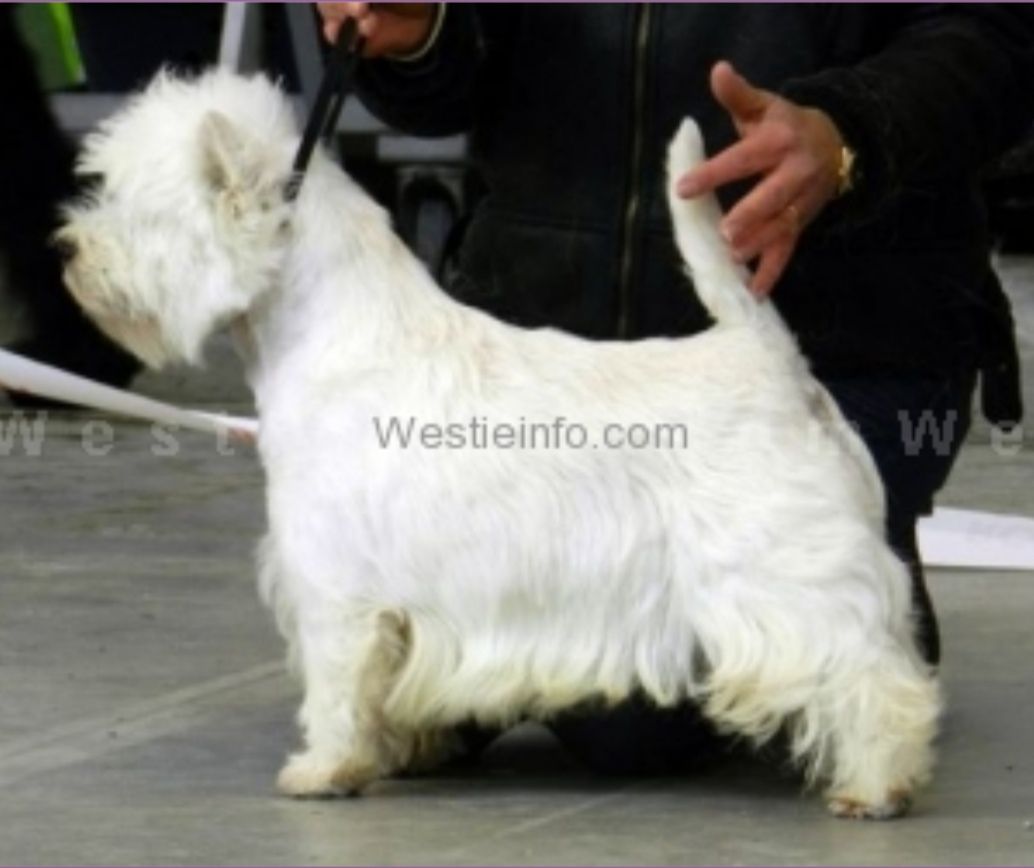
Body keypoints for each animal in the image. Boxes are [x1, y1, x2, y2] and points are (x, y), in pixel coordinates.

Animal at [60, 71, 943, 819]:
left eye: (134, 209)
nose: (66, 249)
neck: (327, 333)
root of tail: (768, 355)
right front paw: (398, 752)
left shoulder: (336, 589)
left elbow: (337, 686)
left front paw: (323, 769)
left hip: (783, 575)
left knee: (868, 672)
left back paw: (875, 787)